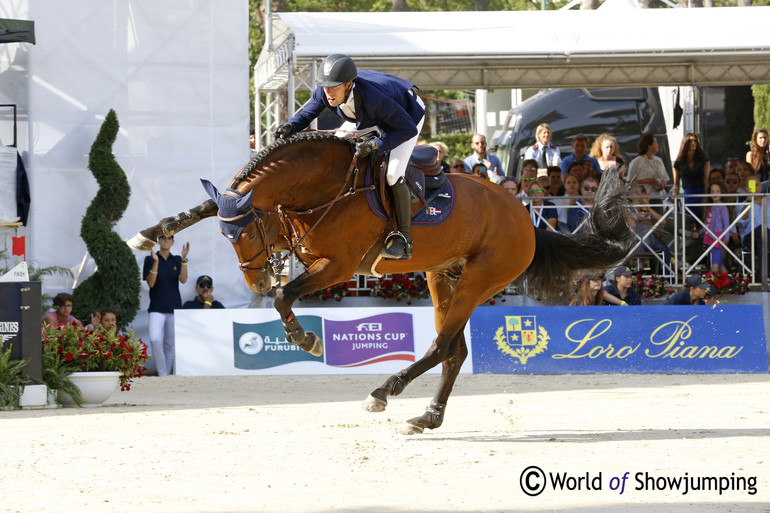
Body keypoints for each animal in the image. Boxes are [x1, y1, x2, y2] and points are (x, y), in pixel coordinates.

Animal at [126, 131, 632, 432]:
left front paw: (307, 339)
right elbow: (208, 206)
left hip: (480, 279)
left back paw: (383, 393)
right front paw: (151, 232)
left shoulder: (338, 266)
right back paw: (427, 417)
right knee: (454, 351)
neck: (321, 185)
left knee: (441, 346)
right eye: (225, 238)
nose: (253, 283)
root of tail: (526, 219)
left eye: (248, 233)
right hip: (442, 276)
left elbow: (285, 295)